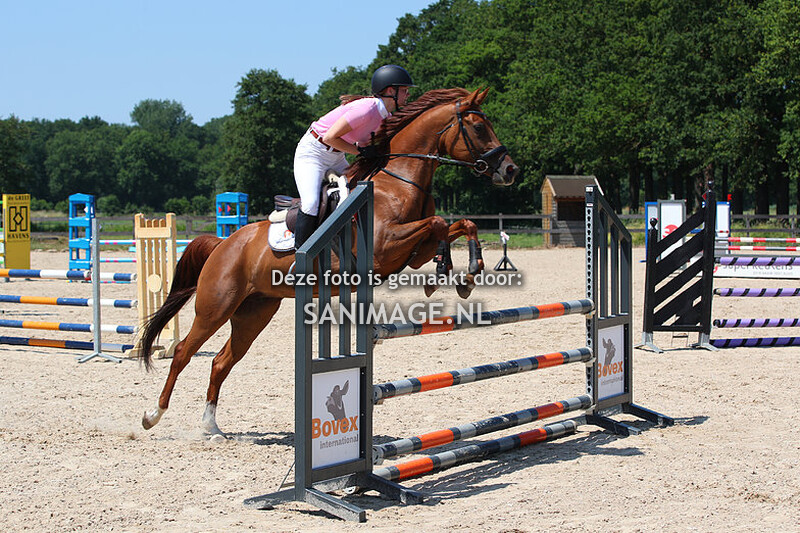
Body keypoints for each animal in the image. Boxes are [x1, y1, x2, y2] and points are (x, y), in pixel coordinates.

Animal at [139, 87, 518, 435]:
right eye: (479, 127)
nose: (510, 170)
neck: (399, 181)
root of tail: (224, 244)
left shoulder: (412, 252)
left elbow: (460, 224)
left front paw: (464, 275)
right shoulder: (384, 248)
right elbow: (440, 223)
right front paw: (445, 272)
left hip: (254, 311)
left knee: (221, 361)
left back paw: (210, 425)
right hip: (215, 306)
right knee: (183, 352)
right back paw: (152, 416)